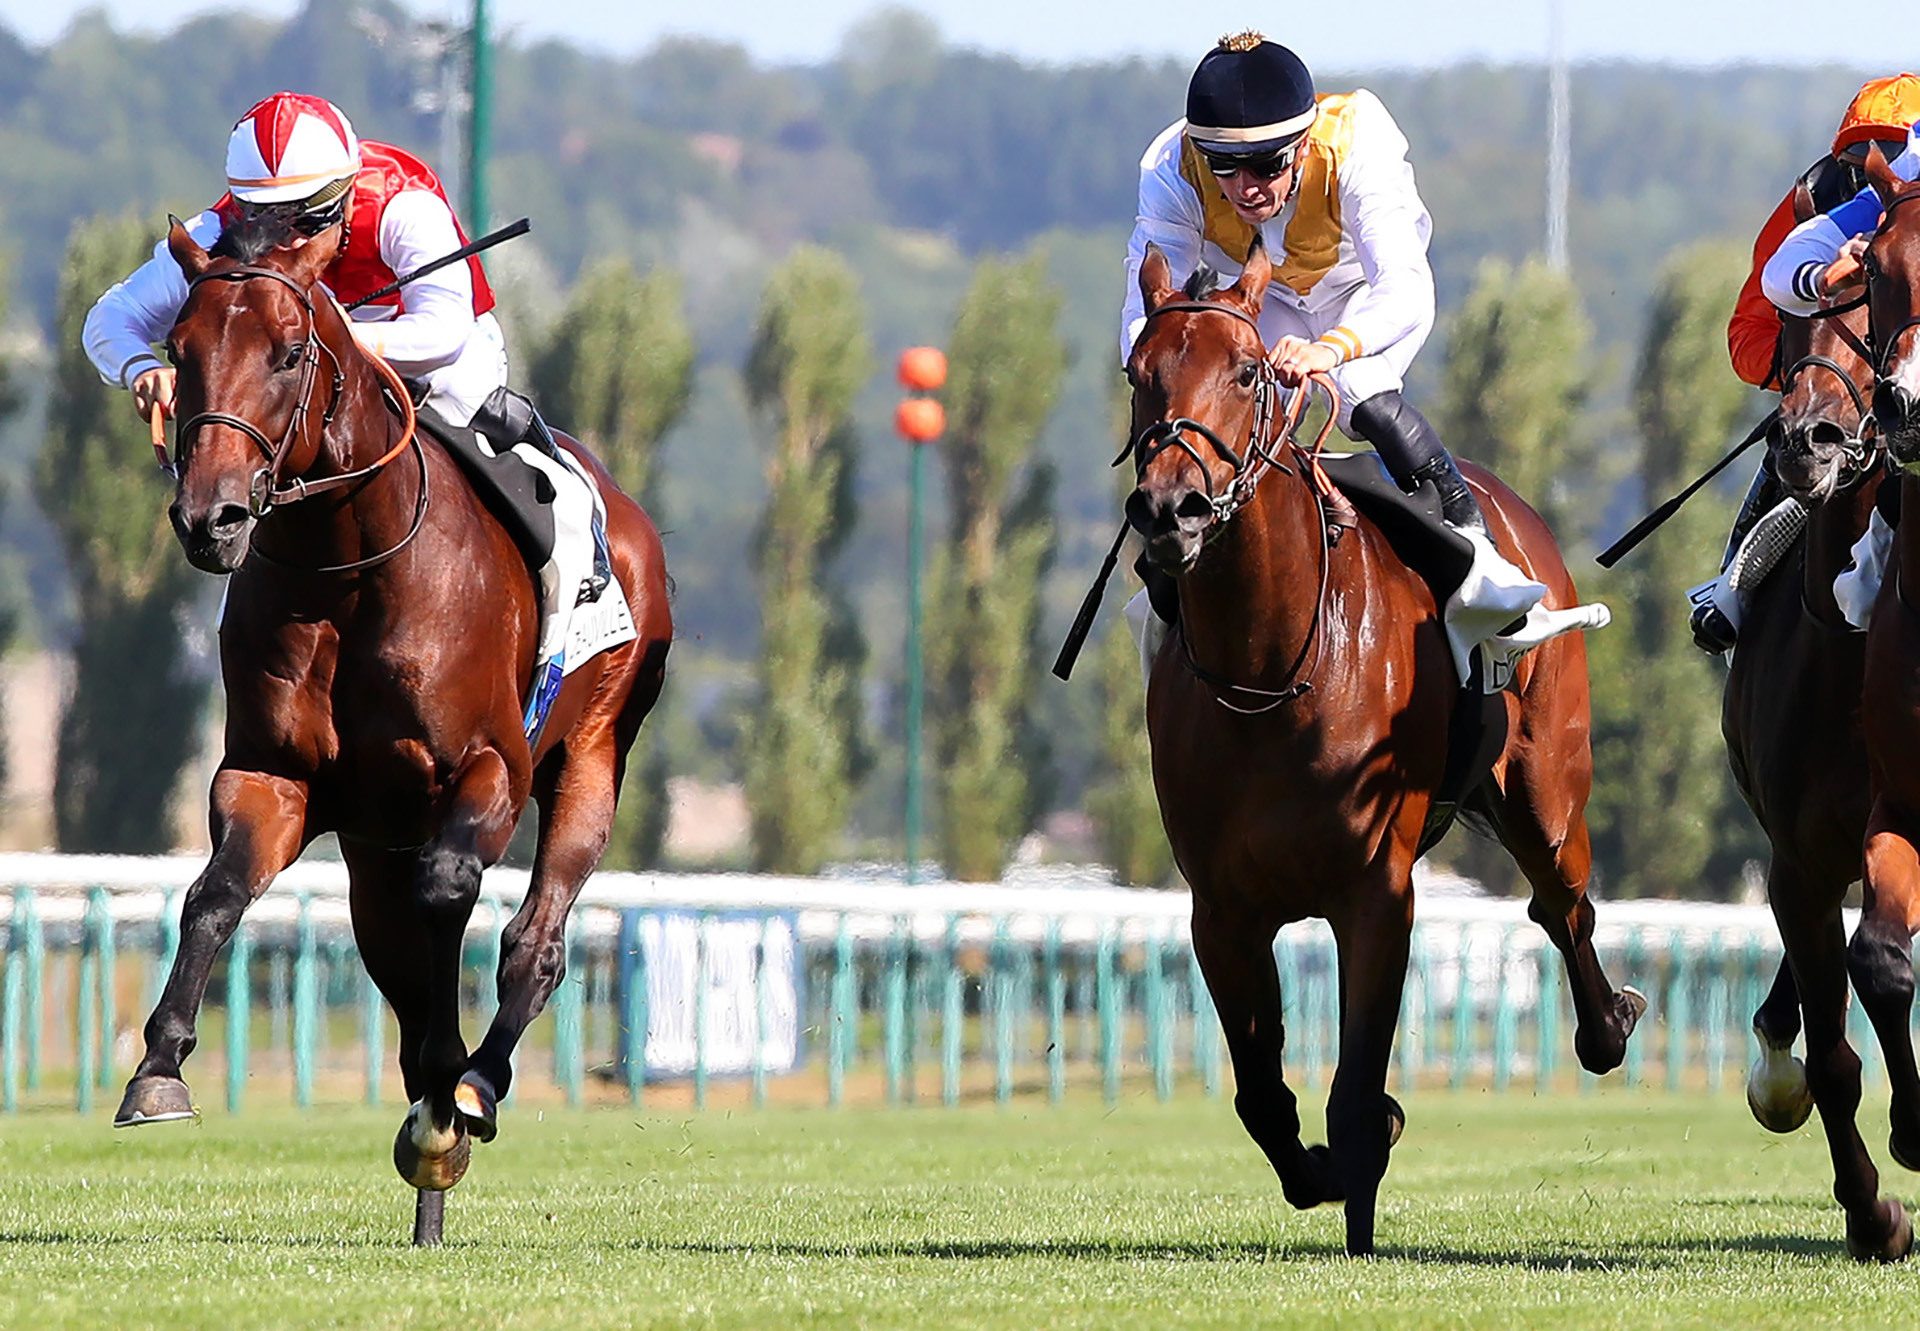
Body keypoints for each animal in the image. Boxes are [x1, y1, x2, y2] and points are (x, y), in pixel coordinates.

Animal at [112, 213, 672, 1244]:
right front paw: (159, 1071)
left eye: (291, 352)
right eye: (179, 349)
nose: (211, 517)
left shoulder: (490, 768)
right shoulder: (273, 777)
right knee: (395, 945)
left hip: (594, 751)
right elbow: (215, 895)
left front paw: (451, 1091)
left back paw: (475, 1084)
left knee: (535, 939)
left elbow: (450, 897)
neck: (348, 568)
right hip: (376, 843)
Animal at [1121, 241, 1651, 1259]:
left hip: (1546, 794)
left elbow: (1357, 1088)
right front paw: (1326, 1170)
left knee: (1564, 905)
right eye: (1138, 374)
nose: (1173, 509)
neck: (1271, 665)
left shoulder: (1378, 891)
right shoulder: (1223, 909)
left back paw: (1610, 1021)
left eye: (1248, 373)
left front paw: (1364, 1194)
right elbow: (1262, 1093)